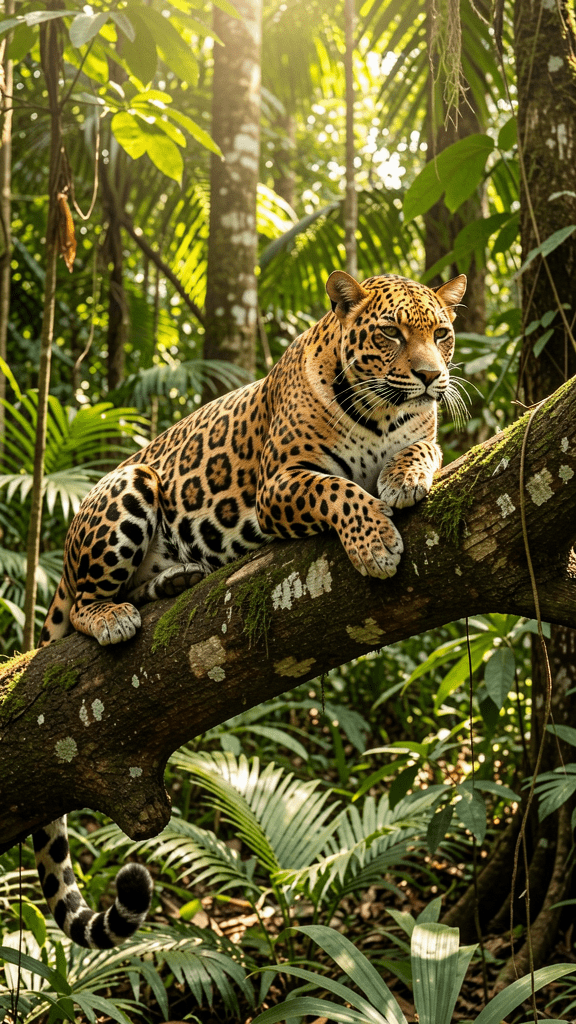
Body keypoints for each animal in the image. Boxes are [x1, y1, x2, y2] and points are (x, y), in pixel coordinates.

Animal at [34, 268, 467, 947]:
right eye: (392, 334)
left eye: (442, 334)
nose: (430, 376)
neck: (381, 414)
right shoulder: (281, 484)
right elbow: (339, 489)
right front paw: (374, 542)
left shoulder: (421, 433)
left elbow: (420, 452)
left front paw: (404, 479)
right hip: (128, 489)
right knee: (82, 601)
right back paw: (111, 616)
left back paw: (175, 580)